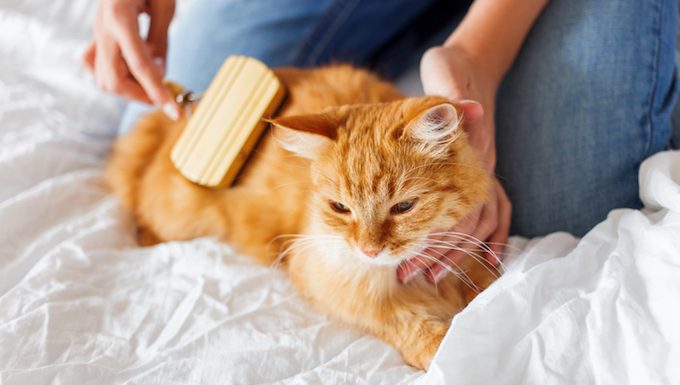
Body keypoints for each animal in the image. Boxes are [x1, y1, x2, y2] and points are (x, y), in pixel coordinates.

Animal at [107, 65, 500, 368]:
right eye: (340, 208)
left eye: (403, 207)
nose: (368, 250)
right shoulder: (332, 284)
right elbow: (405, 323)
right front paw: (443, 348)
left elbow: (486, 285)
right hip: (180, 213)